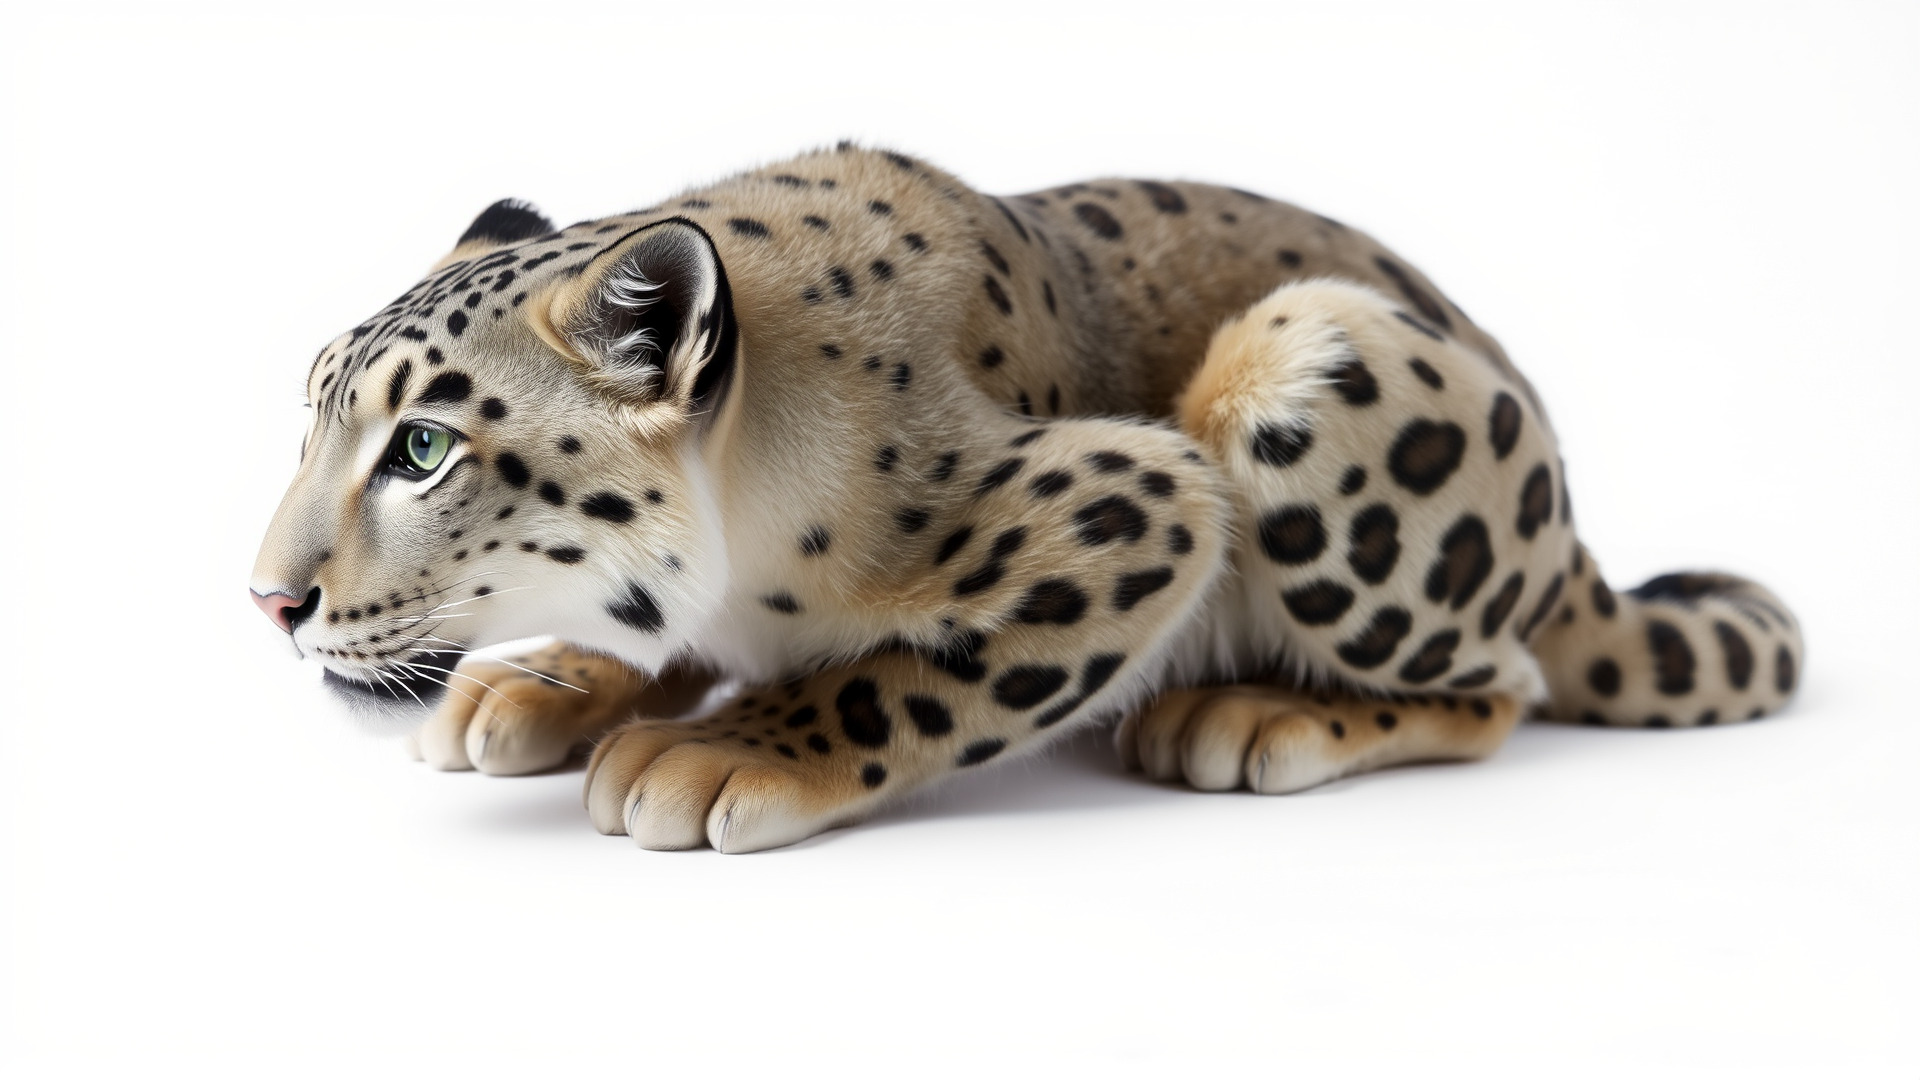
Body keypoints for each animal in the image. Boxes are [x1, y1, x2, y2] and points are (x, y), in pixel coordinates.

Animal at [252, 143, 1804, 853]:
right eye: (316, 404)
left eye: (423, 447)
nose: (269, 599)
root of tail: (1573, 530)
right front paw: (555, 682)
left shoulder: (1138, 502)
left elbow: (909, 684)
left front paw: (722, 752)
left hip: (1313, 377)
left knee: (1498, 684)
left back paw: (1256, 713)